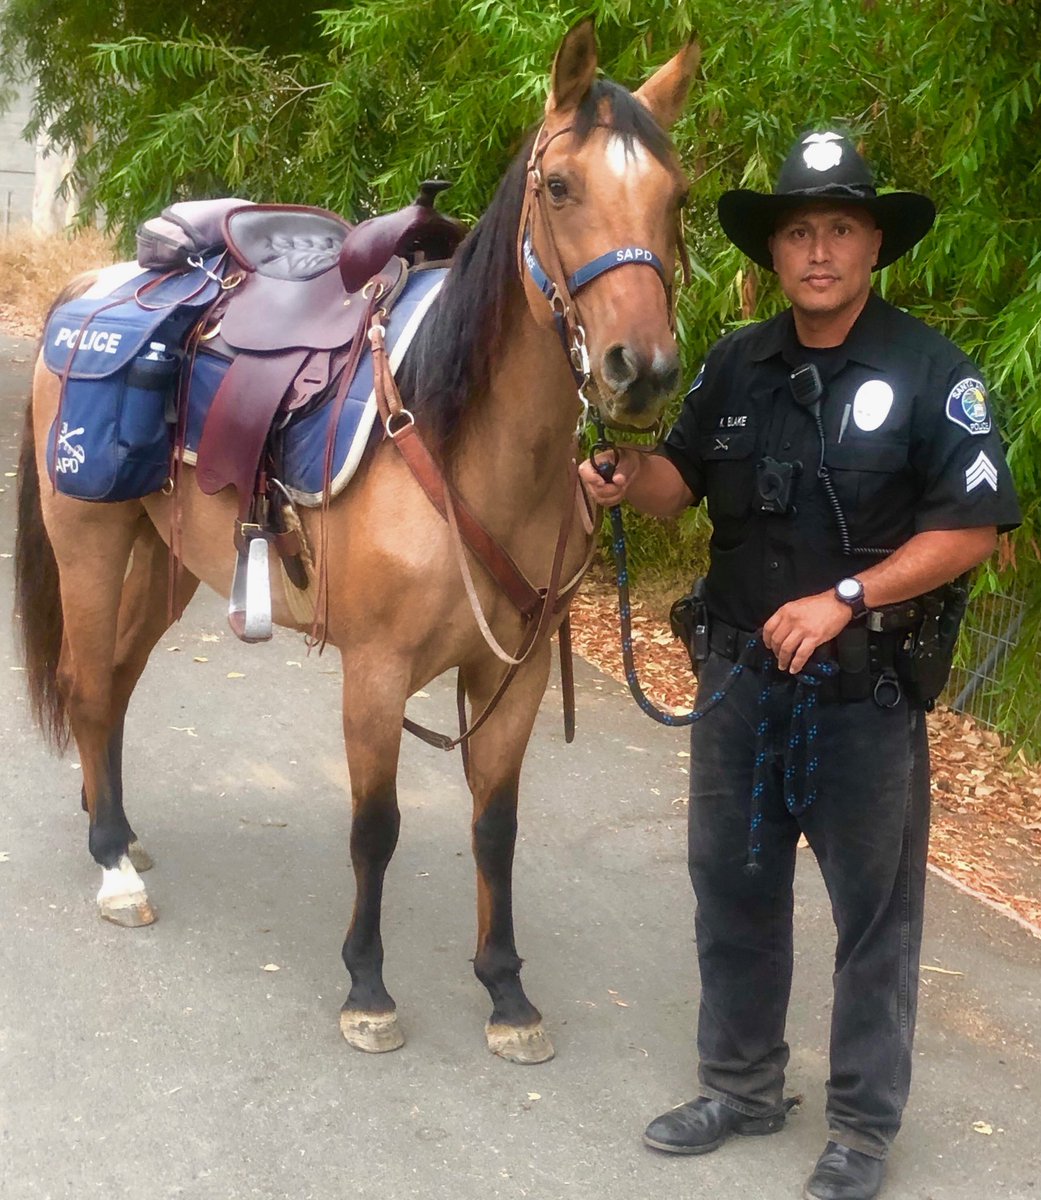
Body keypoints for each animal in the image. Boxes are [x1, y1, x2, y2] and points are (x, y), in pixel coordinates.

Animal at [14, 20, 697, 1063]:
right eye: (558, 185)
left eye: (679, 196)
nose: (641, 369)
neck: (457, 443)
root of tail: (90, 286)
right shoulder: (374, 673)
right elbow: (376, 827)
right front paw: (367, 988)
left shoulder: (515, 676)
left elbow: (494, 826)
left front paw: (506, 993)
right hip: (88, 536)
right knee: (90, 685)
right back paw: (113, 871)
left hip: (168, 560)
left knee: (119, 684)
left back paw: (118, 829)